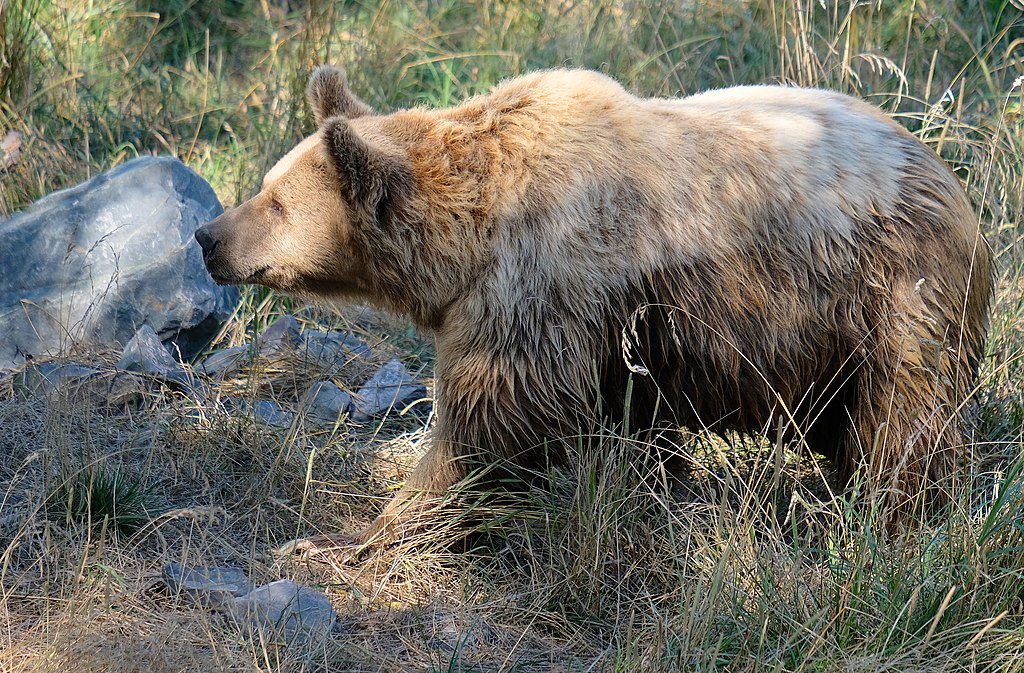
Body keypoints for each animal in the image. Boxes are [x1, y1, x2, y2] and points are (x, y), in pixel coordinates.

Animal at [193, 65, 991, 553]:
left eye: (275, 201)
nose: (208, 236)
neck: (470, 236)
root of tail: (954, 182)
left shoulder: (539, 283)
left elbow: (488, 417)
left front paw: (354, 531)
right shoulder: (623, 331)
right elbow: (631, 424)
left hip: (890, 293)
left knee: (906, 421)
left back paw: (888, 514)